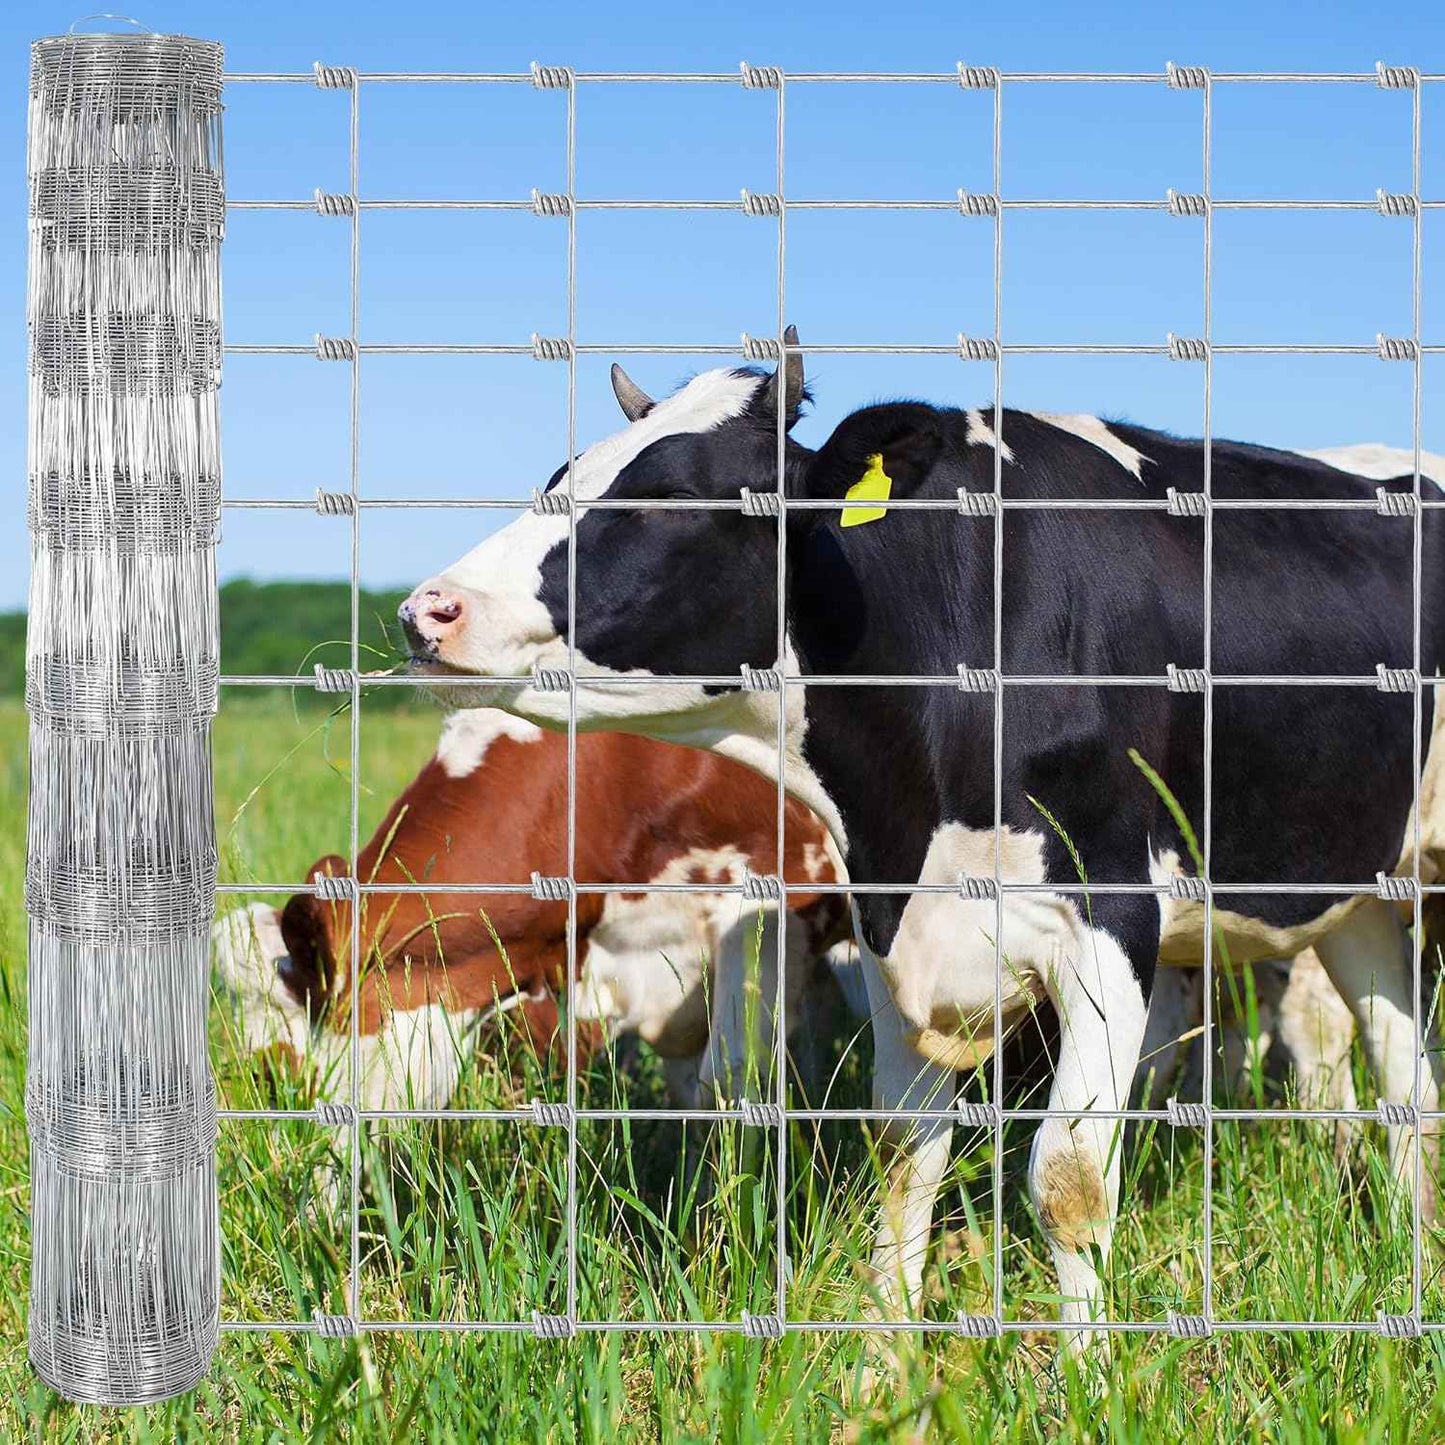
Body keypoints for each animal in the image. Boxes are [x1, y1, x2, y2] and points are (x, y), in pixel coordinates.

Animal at [396, 338, 1445, 1353]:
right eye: (561, 473)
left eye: (671, 496)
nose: (427, 609)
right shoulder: (893, 920)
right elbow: (904, 1153)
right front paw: (882, 1361)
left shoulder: (1110, 915)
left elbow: (1068, 1178)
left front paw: (1090, 1376)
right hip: (1360, 889)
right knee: (1403, 1071)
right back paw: (1416, 1248)